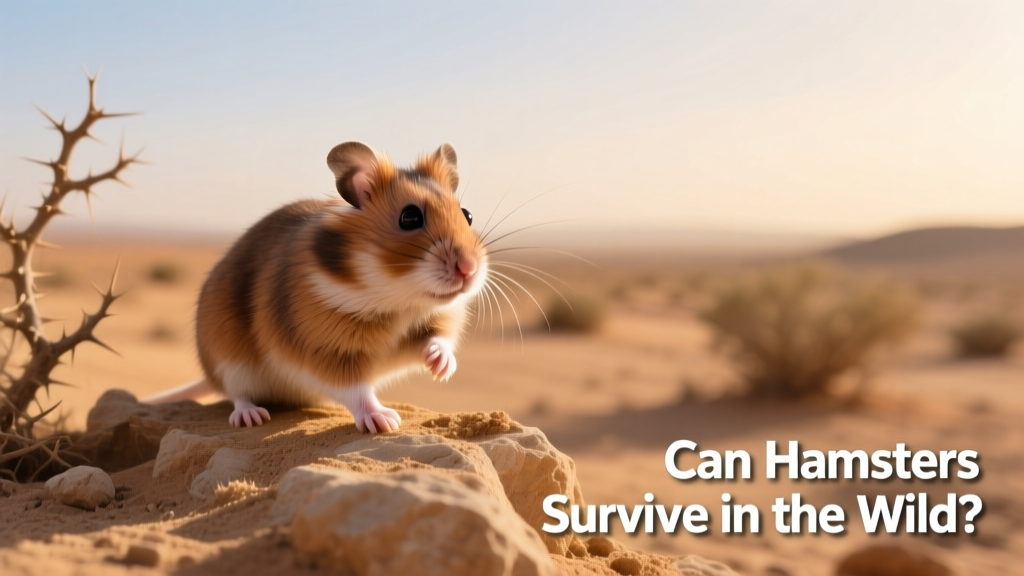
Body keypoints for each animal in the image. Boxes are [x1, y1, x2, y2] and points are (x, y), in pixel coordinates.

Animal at [161, 142, 487, 433]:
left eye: (467, 214)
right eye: (410, 217)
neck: (396, 299)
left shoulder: (431, 322)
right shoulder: (326, 351)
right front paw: (385, 421)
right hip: (227, 357)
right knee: (236, 393)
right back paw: (251, 416)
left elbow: (437, 338)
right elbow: (356, 390)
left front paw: (441, 367)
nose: (469, 269)